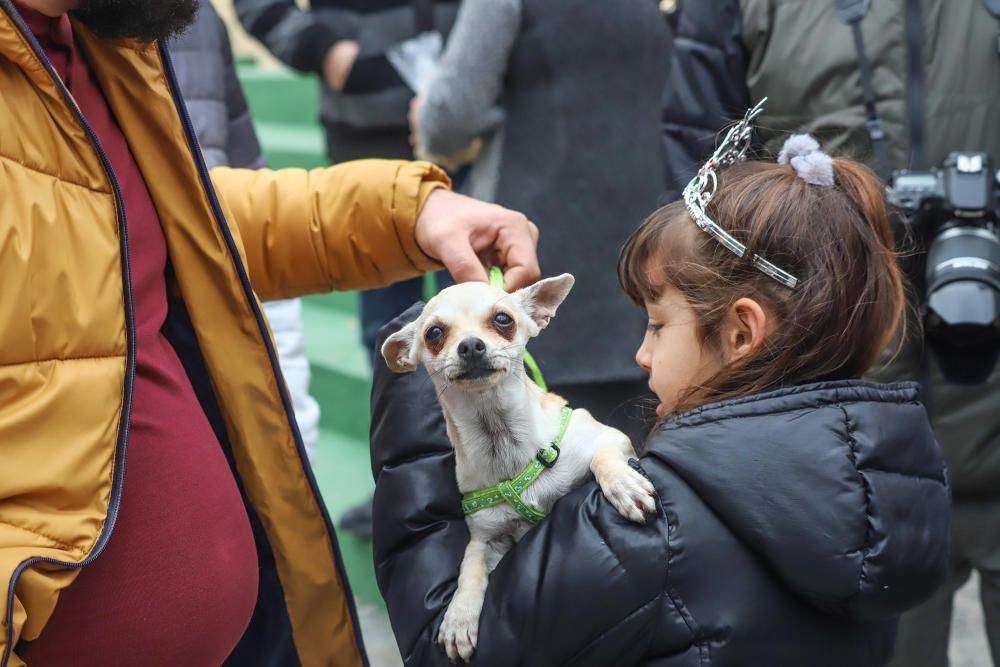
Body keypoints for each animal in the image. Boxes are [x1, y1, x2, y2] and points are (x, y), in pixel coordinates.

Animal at [382, 274, 656, 660]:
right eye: (434, 333)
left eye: (503, 320)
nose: (470, 345)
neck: (501, 440)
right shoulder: (487, 536)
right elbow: (470, 565)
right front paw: (459, 617)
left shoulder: (607, 437)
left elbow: (602, 458)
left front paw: (624, 486)